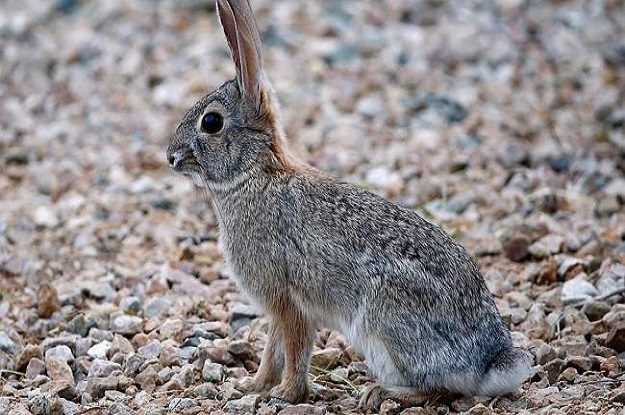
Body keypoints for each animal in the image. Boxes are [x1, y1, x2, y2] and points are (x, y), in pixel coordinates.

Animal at [167, 0, 536, 410]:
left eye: (211, 122)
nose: (171, 157)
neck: (254, 175)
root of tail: (488, 363)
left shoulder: (289, 302)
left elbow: (292, 349)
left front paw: (285, 394)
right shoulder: (280, 308)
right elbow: (272, 350)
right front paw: (254, 386)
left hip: (382, 326)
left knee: (439, 388)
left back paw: (379, 393)